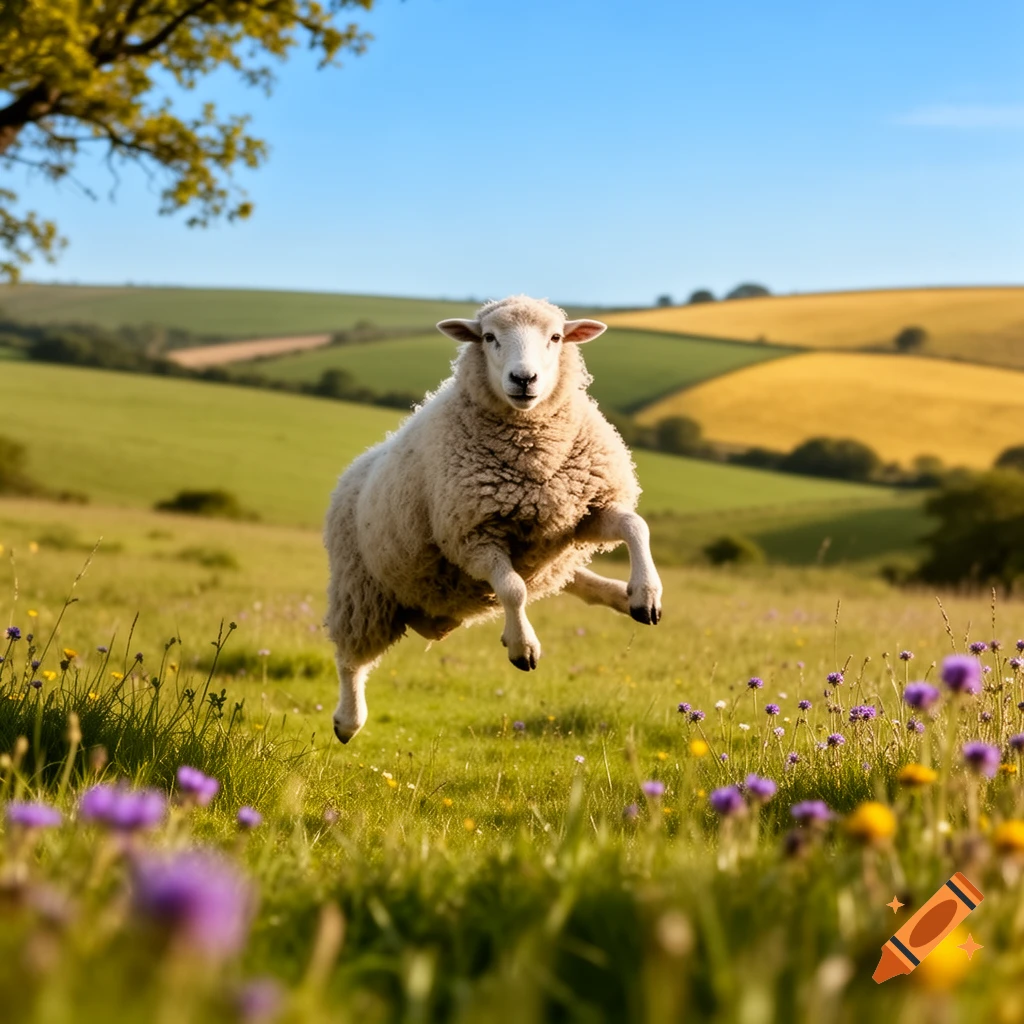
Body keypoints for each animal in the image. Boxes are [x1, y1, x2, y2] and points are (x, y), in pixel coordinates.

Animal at [323, 294, 663, 742]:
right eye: (488, 337)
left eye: (556, 337)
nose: (524, 378)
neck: (533, 449)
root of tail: (355, 468)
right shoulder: (473, 537)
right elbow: (513, 589)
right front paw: (523, 647)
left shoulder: (586, 510)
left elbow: (635, 526)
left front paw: (646, 595)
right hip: (362, 588)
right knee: (350, 659)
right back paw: (349, 719)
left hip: (547, 557)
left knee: (578, 581)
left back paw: (622, 597)